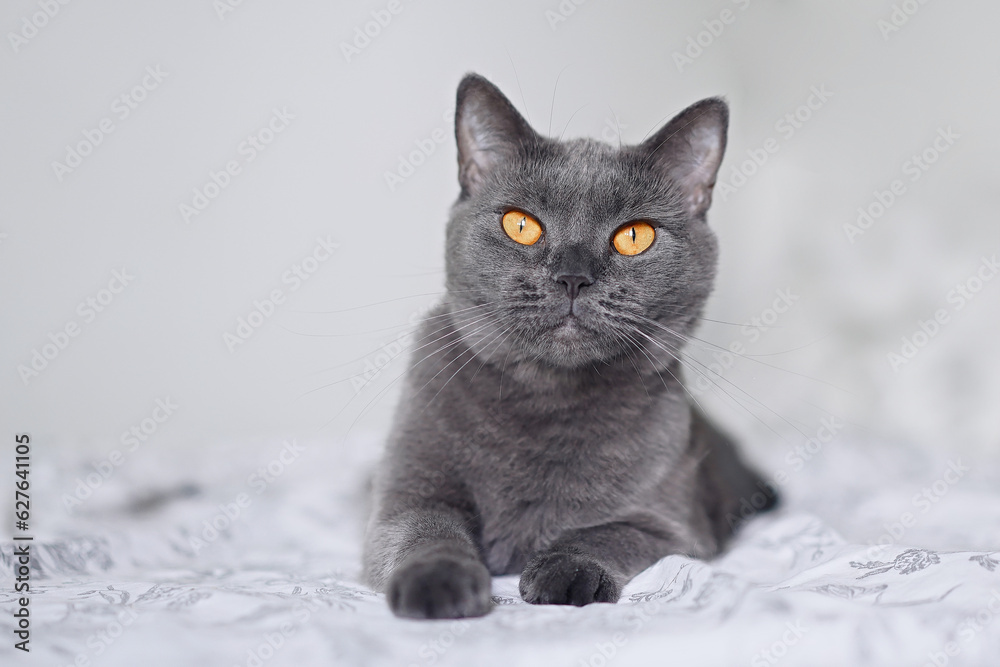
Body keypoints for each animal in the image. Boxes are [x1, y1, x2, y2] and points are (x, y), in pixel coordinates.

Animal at [364, 74, 776, 620]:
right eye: (520, 224)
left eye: (635, 236)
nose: (573, 277)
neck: (548, 398)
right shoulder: (406, 493)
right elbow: (425, 530)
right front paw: (438, 582)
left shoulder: (675, 527)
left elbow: (608, 532)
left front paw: (566, 571)